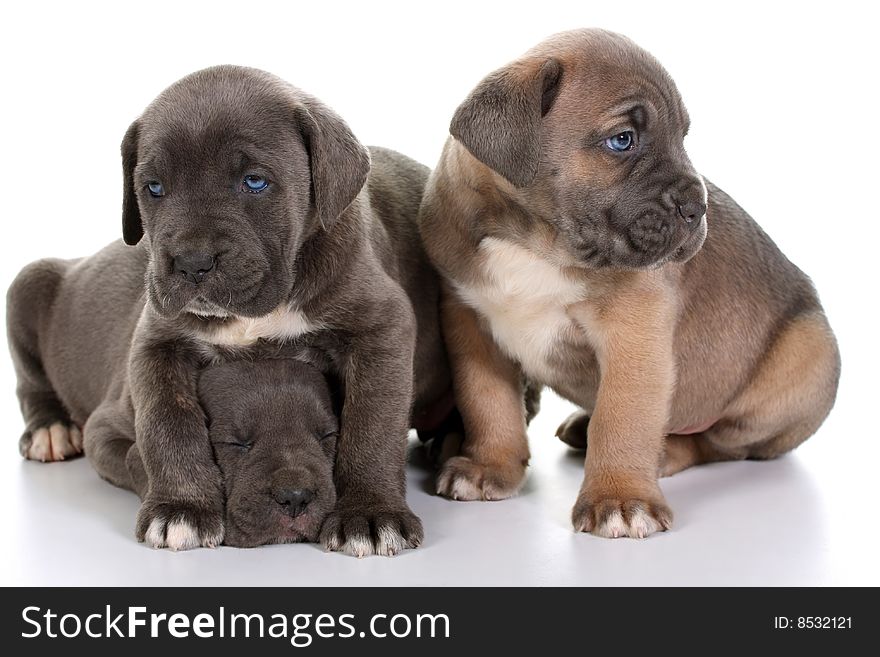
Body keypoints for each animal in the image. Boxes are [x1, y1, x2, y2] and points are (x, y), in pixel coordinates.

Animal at [416, 28, 844, 536]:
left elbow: (623, 418)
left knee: (721, 443)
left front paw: (619, 497)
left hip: (803, 360)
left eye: (682, 137)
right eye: (623, 140)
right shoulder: (471, 323)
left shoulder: (633, 335)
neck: (535, 241)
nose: (697, 207)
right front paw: (489, 465)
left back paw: (665, 451)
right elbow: (488, 400)